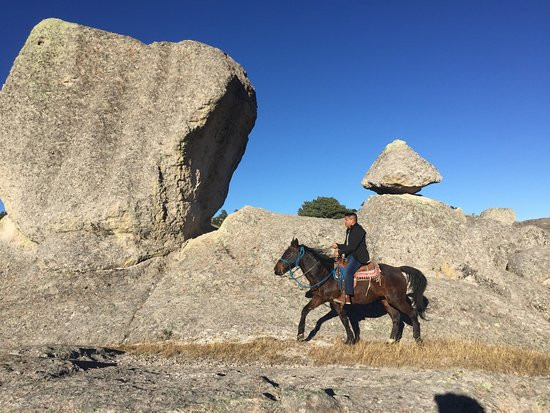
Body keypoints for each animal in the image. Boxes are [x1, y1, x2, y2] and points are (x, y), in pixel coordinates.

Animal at [274, 237, 430, 342]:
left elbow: (344, 319)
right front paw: (300, 335)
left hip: (397, 299)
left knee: (412, 313)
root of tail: (398, 269)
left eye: (289, 254)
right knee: (397, 318)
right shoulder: (321, 298)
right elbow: (305, 310)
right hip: (386, 301)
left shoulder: (335, 302)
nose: (276, 270)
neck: (326, 273)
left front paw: (349, 340)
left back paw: (417, 339)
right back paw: (391, 341)